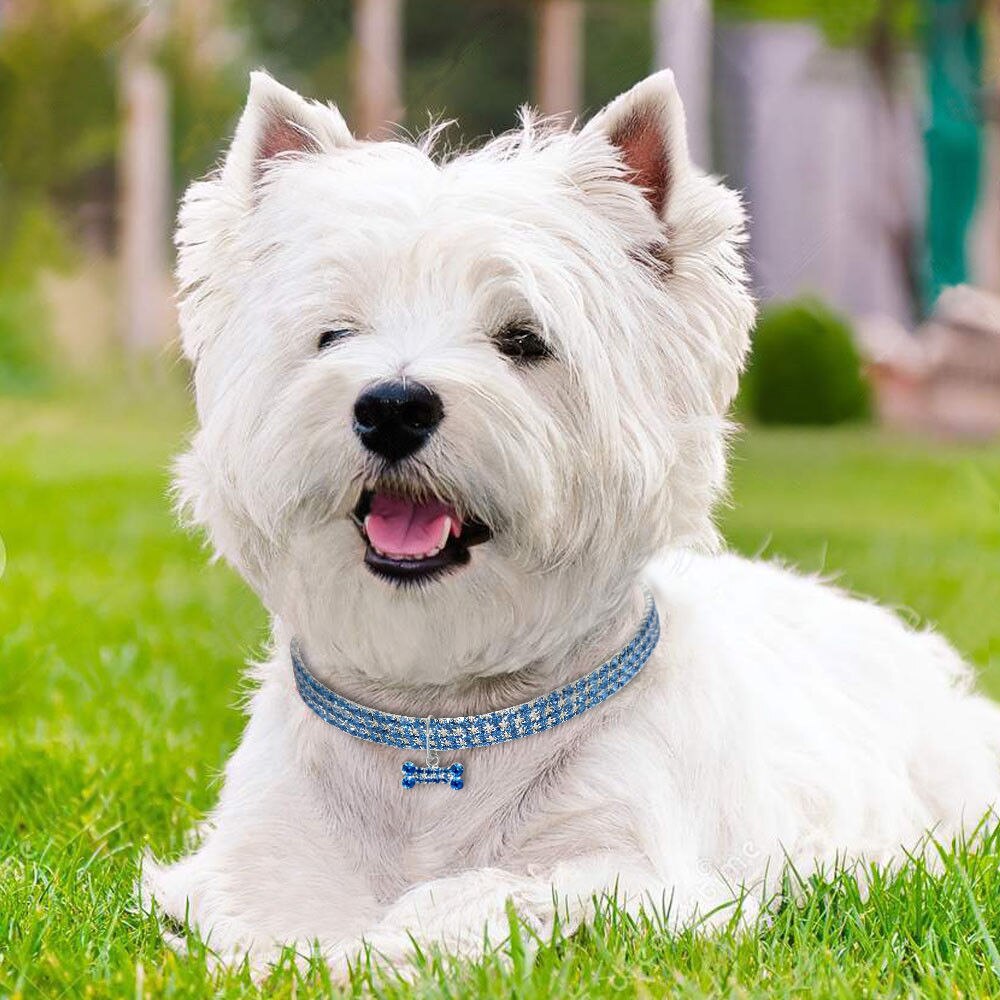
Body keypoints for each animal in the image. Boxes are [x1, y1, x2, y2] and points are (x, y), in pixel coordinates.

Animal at [145, 72, 1000, 976]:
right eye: (333, 334)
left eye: (524, 340)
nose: (392, 406)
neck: (440, 729)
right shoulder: (262, 851)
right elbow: (276, 916)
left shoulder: (630, 867)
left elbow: (482, 893)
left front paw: (384, 952)